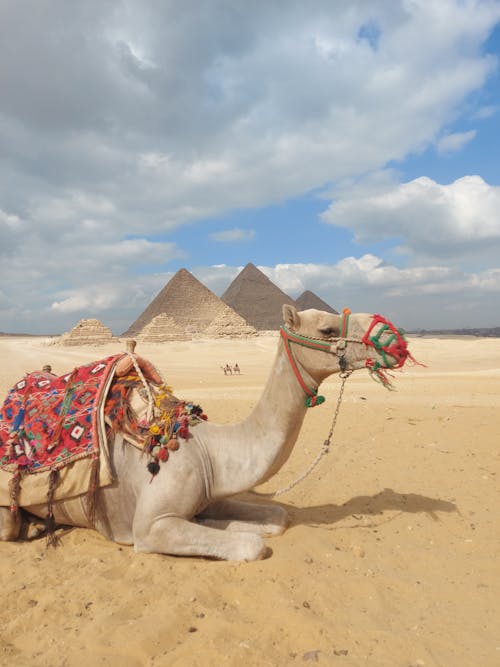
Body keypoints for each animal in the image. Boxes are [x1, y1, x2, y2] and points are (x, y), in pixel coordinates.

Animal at [0, 306, 414, 560]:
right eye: (327, 329)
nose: (395, 340)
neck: (209, 448)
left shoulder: (211, 492)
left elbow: (276, 517)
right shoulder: (151, 528)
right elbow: (251, 546)